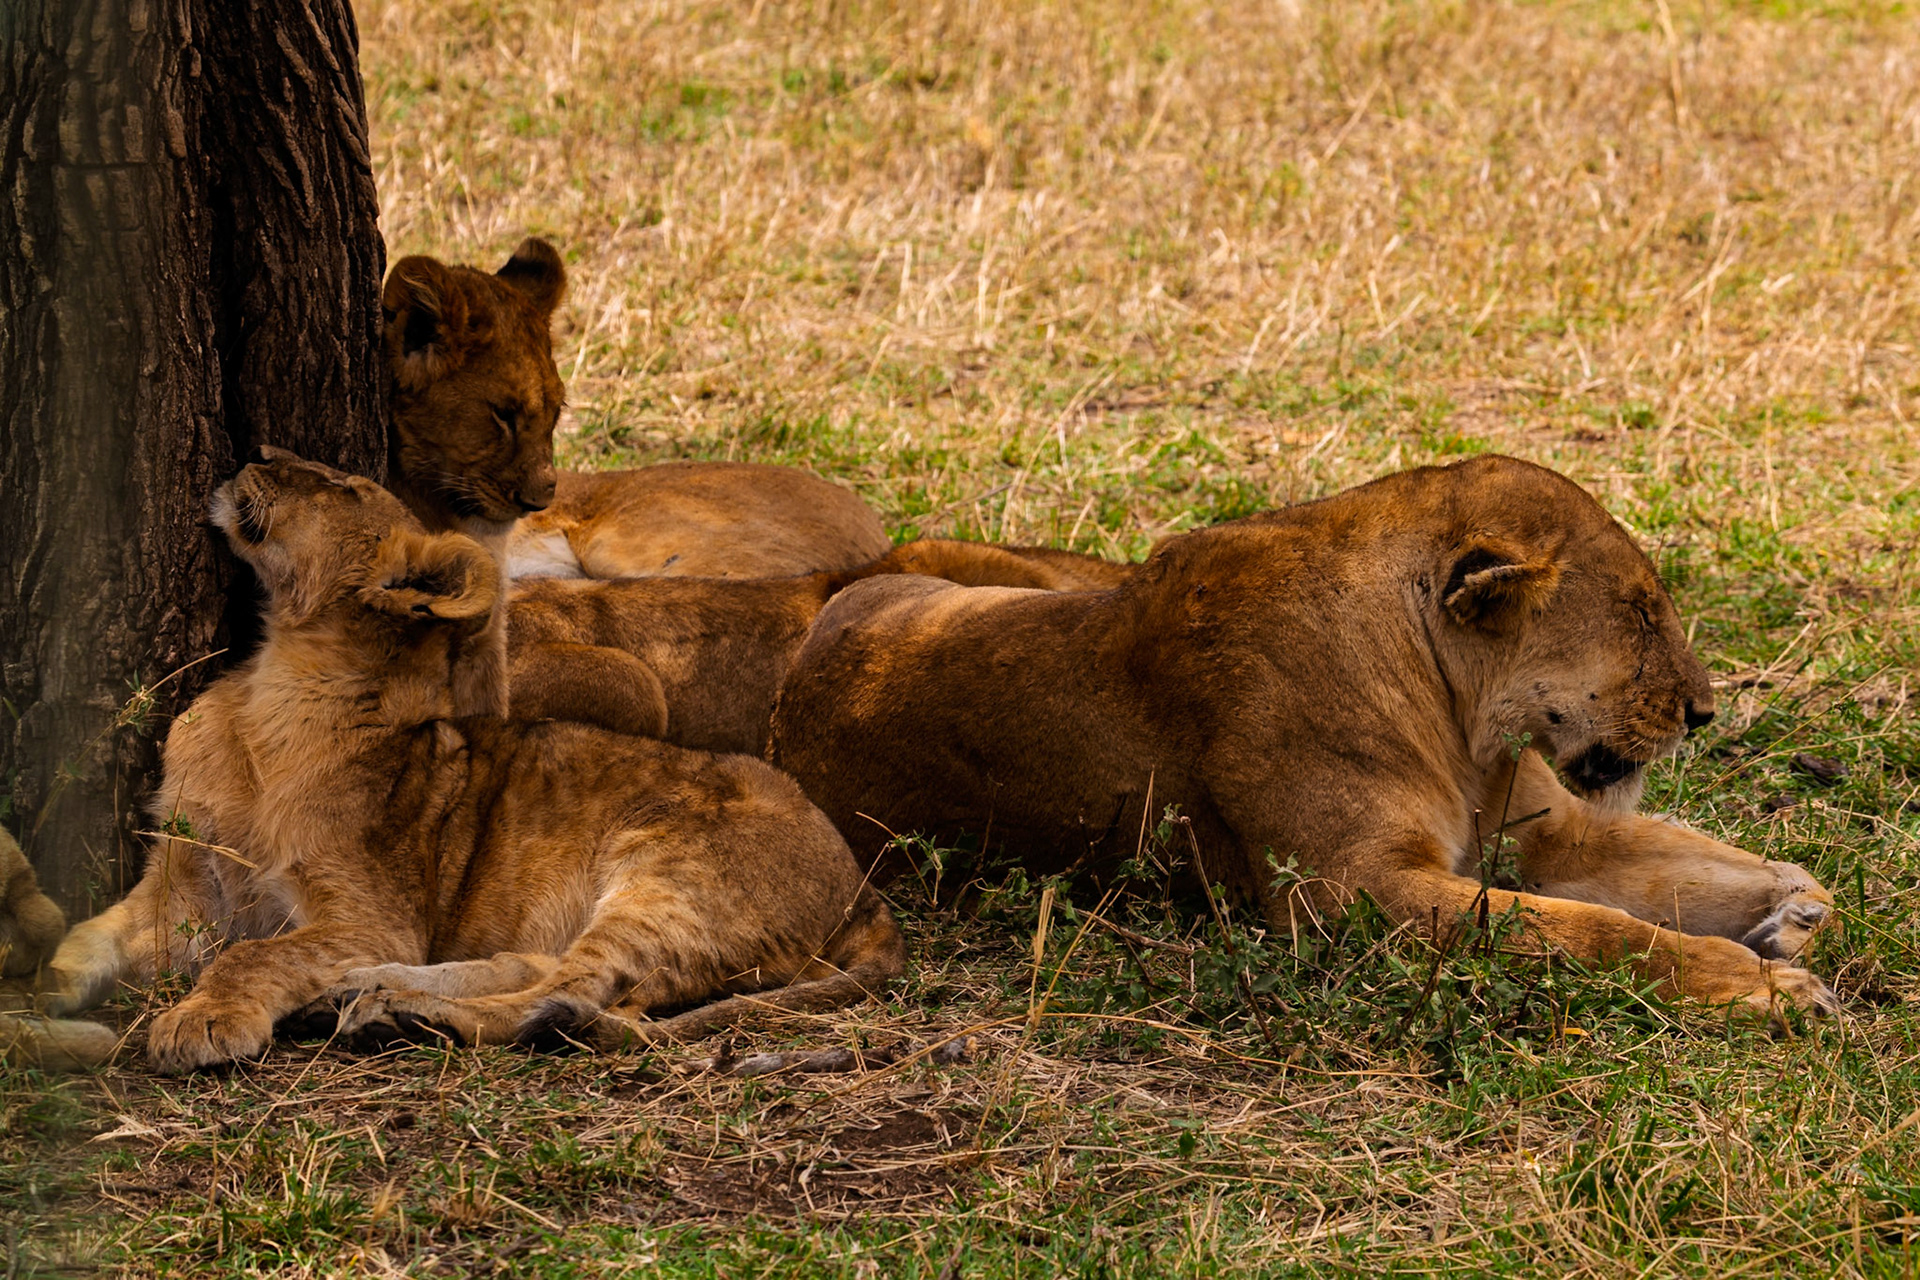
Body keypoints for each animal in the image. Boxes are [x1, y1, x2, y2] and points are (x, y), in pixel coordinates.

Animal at [30, 454, 904, 1073]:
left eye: (344, 486)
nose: (253, 455)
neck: (265, 696)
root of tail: (863, 890)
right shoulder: (182, 893)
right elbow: (85, 938)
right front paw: (34, 983)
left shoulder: (370, 912)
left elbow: (255, 952)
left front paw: (203, 1019)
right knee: (538, 966)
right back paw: (363, 995)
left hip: (669, 880)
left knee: (572, 999)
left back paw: (402, 1014)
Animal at [767, 455, 1838, 1020]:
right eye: (1641, 614)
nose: (1704, 714)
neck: (1459, 715)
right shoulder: (1347, 893)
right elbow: (1595, 932)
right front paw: (1763, 984)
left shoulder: (1554, 837)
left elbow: (1692, 869)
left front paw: (1795, 911)